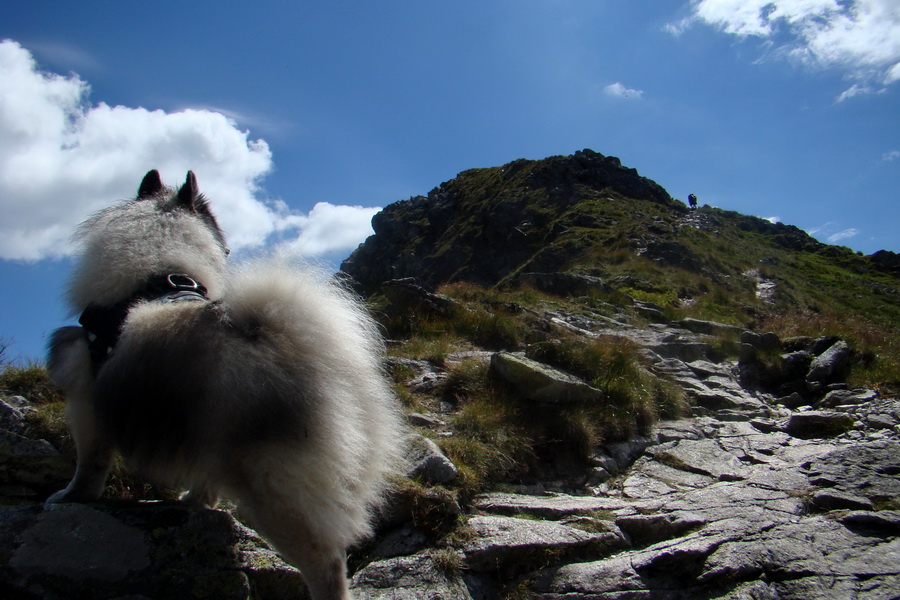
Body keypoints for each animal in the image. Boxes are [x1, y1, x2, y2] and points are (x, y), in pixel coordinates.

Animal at [45, 170, 404, 600]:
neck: (159, 274)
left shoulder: (86, 398)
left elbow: (90, 464)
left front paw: (70, 498)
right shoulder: (204, 435)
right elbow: (205, 481)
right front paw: (197, 502)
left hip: (272, 489)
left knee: (326, 563)